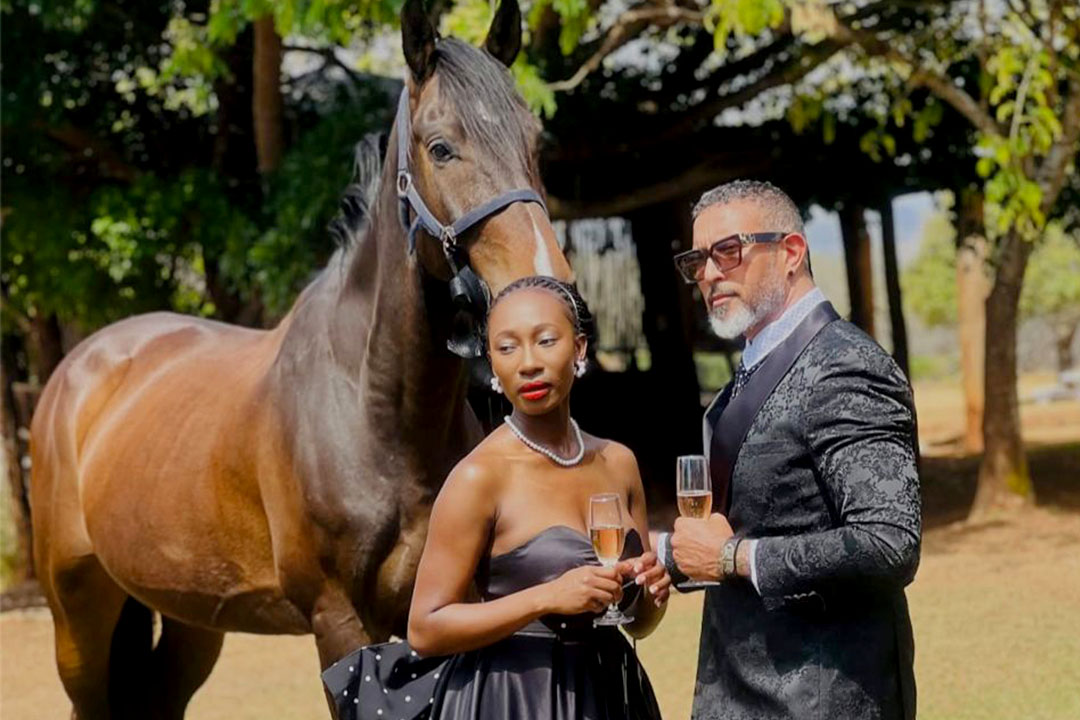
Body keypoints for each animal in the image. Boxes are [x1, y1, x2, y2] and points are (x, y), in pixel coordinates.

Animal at [28, 1, 571, 717]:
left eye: (536, 144)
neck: (376, 411)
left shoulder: (444, 606)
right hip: (77, 608)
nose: (548, 291)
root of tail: (79, 367)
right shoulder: (337, 620)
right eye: (441, 147)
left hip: (191, 616)